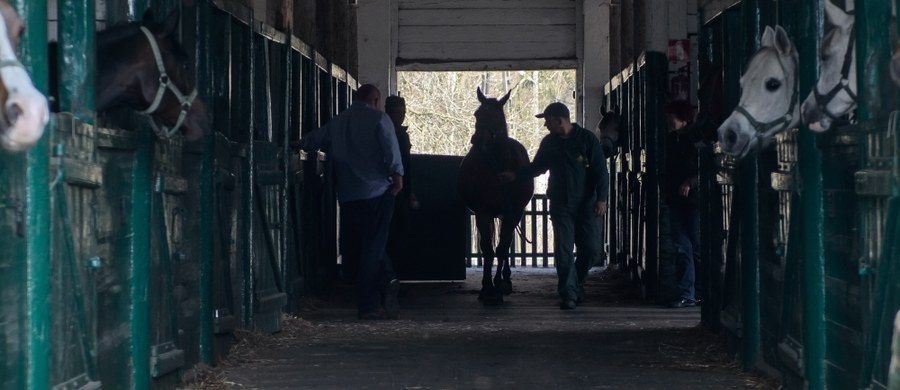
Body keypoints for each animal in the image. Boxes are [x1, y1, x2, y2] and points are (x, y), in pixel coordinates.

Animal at [460, 88, 532, 304]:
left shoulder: (512, 212)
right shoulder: (483, 213)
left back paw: (505, 280)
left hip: (511, 214)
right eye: (477, 114)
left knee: (506, 244)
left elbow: (502, 248)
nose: (477, 141)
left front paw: (499, 285)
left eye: (497, 117)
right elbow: (487, 249)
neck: (498, 166)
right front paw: (486, 288)